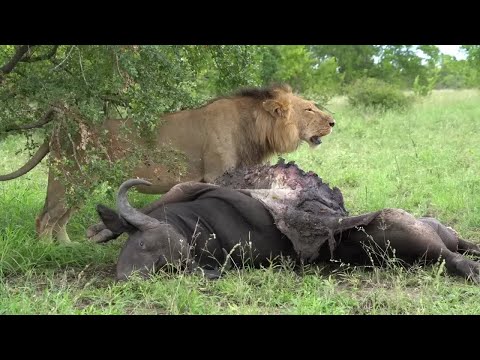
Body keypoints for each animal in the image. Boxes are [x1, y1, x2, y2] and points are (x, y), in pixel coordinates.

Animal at [1, 84, 336, 243]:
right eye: (309, 109)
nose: (333, 122)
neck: (252, 128)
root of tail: (63, 123)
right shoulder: (217, 173)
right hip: (72, 176)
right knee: (46, 218)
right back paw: (46, 251)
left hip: (82, 181)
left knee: (60, 219)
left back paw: (69, 247)